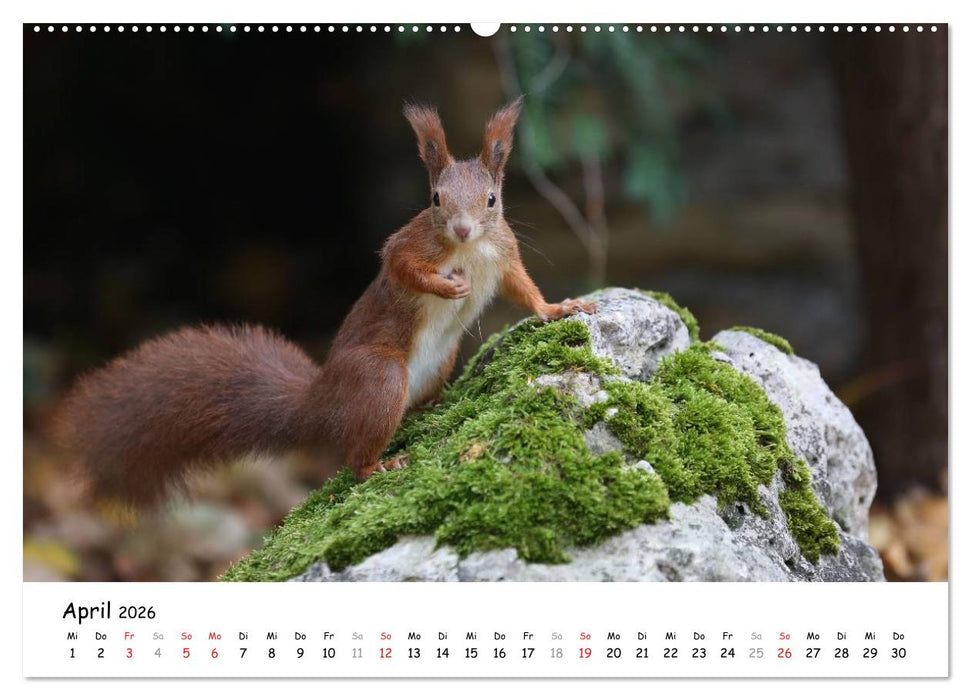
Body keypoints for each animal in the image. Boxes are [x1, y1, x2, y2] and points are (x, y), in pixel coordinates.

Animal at [57, 97, 596, 507]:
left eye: (491, 200)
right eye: (436, 200)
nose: (462, 229)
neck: (468, 249)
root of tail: (321, 403)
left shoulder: (504, 256)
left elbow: (524, 291)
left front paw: (560, 309)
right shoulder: (409, 246)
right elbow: (402, 268)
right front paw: (447, 288)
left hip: (440, 361)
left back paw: (433, 406)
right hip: (379, 378)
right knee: (356, 457)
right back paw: (381, 465)